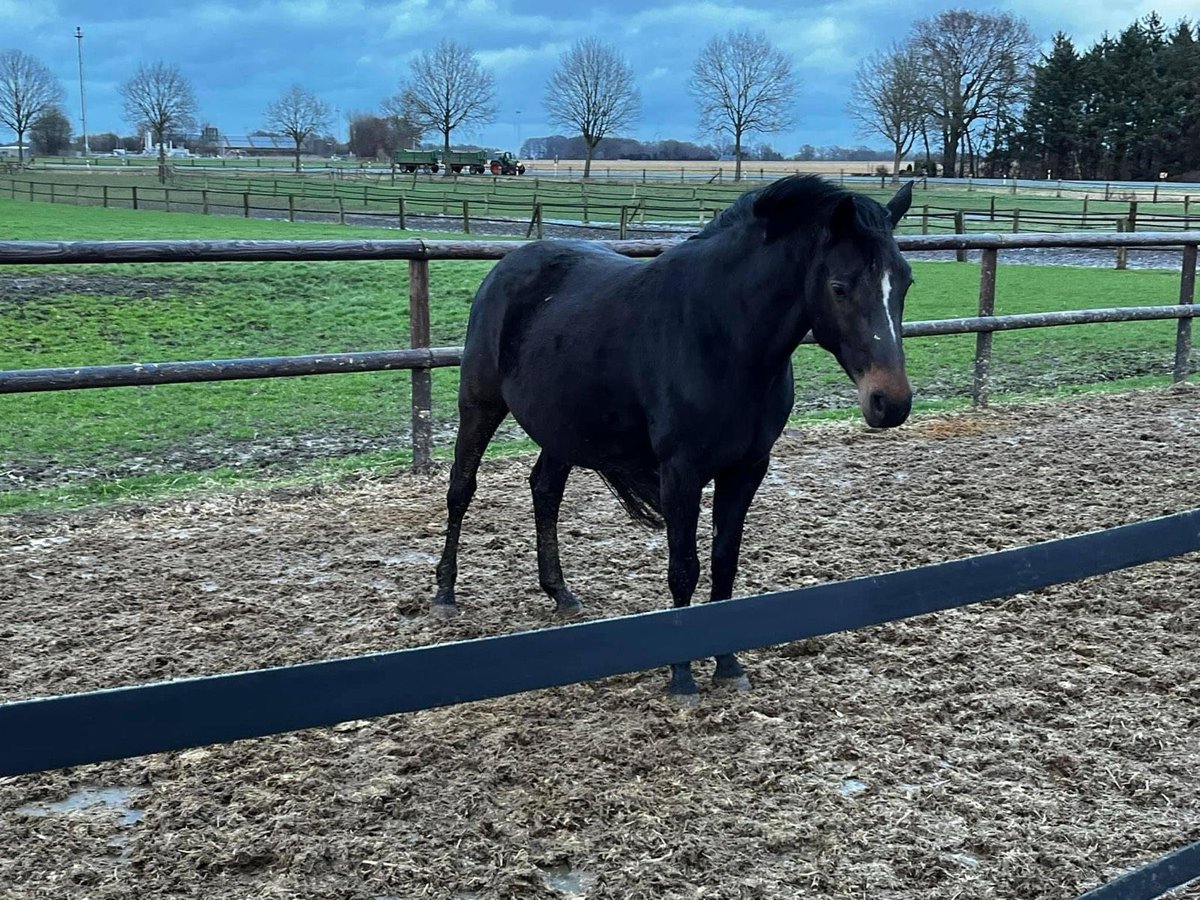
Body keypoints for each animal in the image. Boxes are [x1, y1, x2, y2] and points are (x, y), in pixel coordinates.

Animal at [436, 174, 912, 696]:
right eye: (839, 287)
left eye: (906, 281)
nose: (891, 402)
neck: (723, 335)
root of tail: (508, 266)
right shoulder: (681, 473)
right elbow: (684, 568)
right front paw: (681, 676)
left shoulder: (747, 469)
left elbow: (724, 563)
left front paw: (727, 663)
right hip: (479, 406)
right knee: (461, 489)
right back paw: (445, 592)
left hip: (562, 427)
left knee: (545, 490)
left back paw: (560, 592)